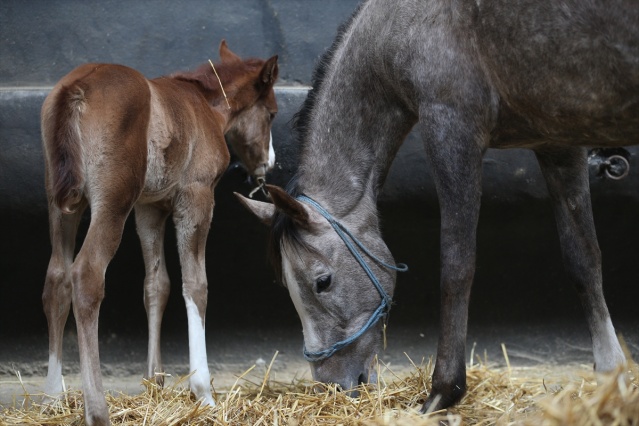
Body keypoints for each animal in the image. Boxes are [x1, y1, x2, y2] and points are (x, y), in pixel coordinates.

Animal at [239, 0, 636, 412]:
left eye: (322, 282)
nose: (330, 386)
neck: (398, 26)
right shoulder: (558, 141)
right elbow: (583, 259)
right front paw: (612, 376)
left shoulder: (452, 129)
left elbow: (456, 267)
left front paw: (443, 391)